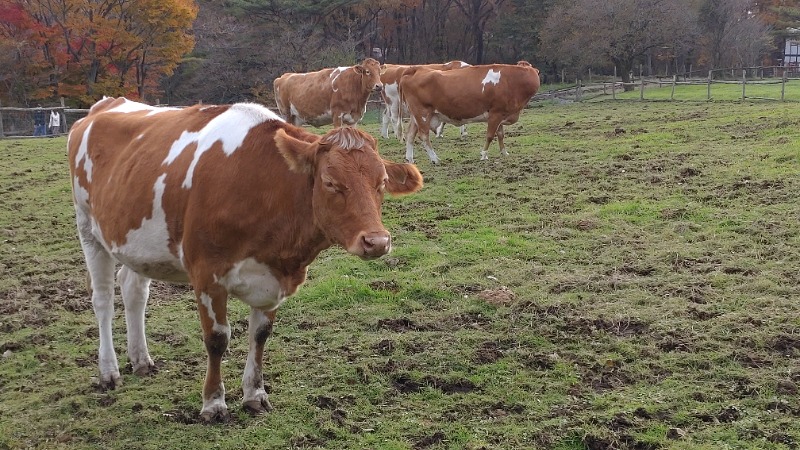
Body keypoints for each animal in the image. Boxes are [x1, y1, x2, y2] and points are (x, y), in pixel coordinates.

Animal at [67, 96, 424, 422]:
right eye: (330, 183)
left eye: (381, 183)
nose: (376, 241)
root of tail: (105, 104)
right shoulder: (206, 274)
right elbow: (217, 339)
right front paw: (213, 403)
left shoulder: (273, 278)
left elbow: (260, 336)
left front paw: (255, 395)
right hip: (88, 230)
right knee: (103, 300)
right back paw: (109, 371)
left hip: (136, 243)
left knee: (133, 290)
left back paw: (141, 360)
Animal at [400, 61, 544, 163]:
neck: (511, 80)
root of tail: (415, 69)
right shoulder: (495, 114)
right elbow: (490, 135)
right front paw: (484, 155)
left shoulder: (501, 114)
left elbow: (500, 135)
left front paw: (504, 152)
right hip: (422, 113)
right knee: (424, 136)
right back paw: (434, 159)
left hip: (415, 116)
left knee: (410, 135)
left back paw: (410, 159)